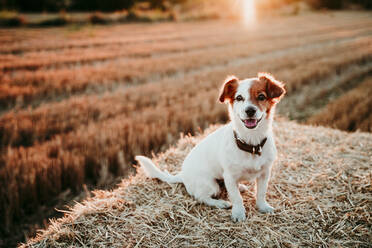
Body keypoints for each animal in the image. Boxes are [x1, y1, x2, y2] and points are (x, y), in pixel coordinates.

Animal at [136, 72, 284, 222]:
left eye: (261, 97)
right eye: (239, 98)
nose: (250, 111)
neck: (251, 143)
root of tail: (182, 175)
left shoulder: (265, 173)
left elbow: (261, 193)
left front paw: (262, 207)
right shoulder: (230, 176)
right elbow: (236, 198)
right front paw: (238, 213)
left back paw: (240, 187)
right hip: (211, 185)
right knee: (202, 197)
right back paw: (220, 203)